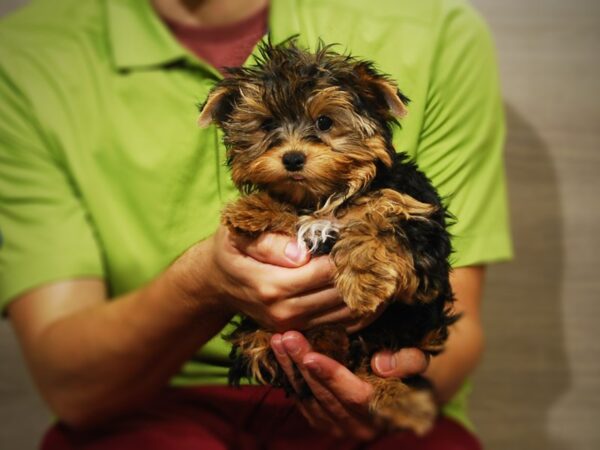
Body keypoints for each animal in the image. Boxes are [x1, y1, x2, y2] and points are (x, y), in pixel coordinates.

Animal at [197, 39, 454, 436]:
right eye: (267, 124)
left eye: (324, 122)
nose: (292, 158)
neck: (327, 194)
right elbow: (296, 213)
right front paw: (255, 208)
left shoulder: (421, 223)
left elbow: (384, 222)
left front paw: (363, 281)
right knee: (258, 345)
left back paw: (393, 394)